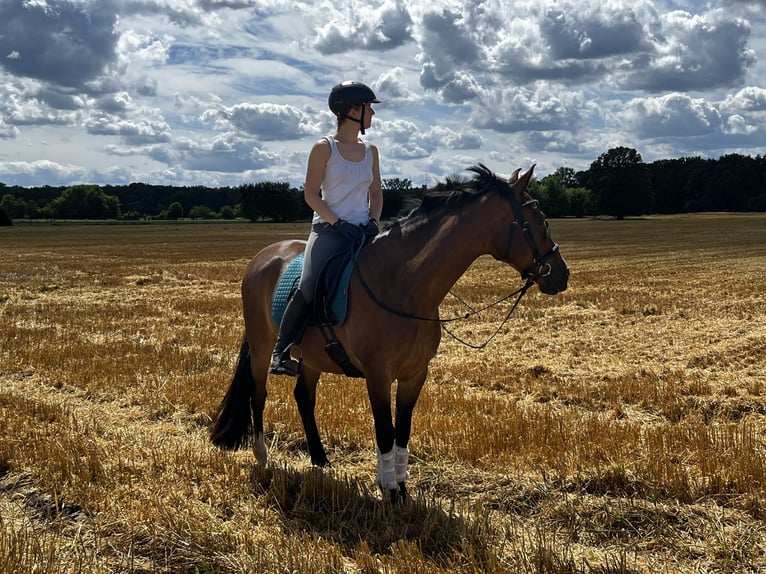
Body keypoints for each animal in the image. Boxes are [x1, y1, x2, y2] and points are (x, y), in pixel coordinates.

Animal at [210, 164, 568, 502]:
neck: (404, 285)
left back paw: (320, 460)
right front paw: (389, 491)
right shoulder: (378, 375)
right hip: (262, 348)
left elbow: (402, 432)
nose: (562, 275)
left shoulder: (415, 374)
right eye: (539, 219)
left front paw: (402, 489)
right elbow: (384, 430)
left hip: (311, 357)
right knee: (258, 395)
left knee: (304, 398)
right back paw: (263, 457)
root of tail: (264, 256)